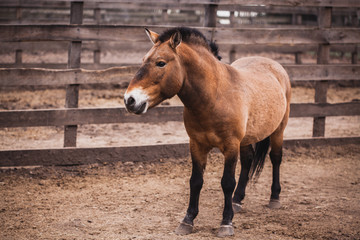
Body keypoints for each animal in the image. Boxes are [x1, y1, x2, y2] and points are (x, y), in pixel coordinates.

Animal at [124, 27, 292, 237]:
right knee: (247, 161)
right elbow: (196, 181)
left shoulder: (230, 146)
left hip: (279, 130)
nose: (129, 100)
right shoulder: (197, 145)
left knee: (276, 158)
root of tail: (275, 65)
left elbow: (227, 182)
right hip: (246, 140)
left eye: (160, 63)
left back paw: (274, 198)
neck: (213, 97)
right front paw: (187, 221)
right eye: (143, 60)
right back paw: (237, 201)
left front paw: (226, 223)